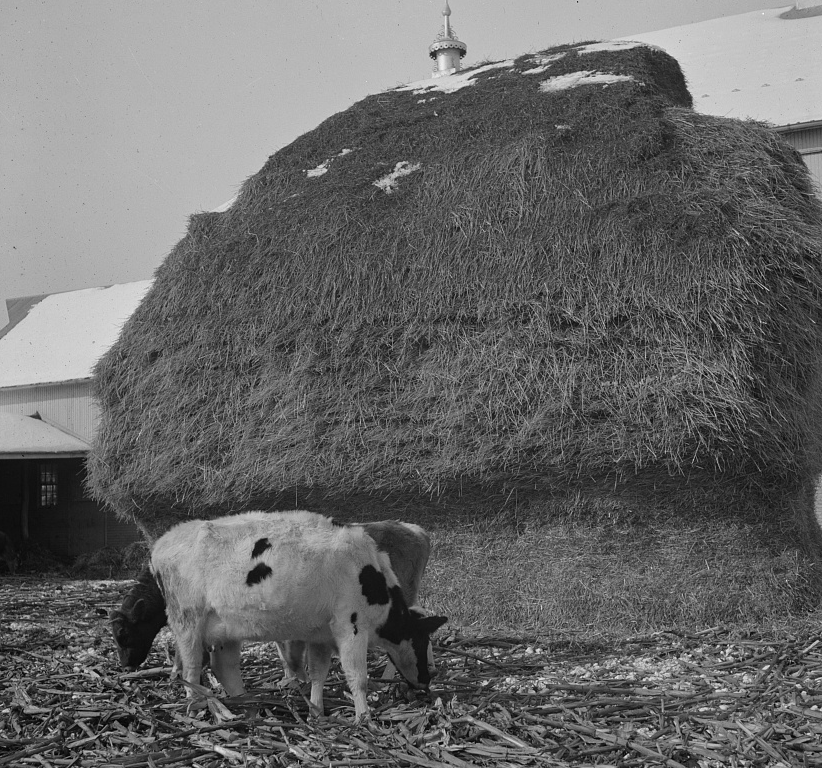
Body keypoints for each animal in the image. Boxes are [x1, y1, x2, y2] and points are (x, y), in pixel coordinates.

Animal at [145, 510, 448, 720]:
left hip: (223, 628)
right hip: (187, 621)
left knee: (224, 666)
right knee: (191, 667)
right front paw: (364, 717)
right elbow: (358, 677)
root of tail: (163, 542)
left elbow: (318, 673)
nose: (427, 679)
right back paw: (196, 705)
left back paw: (243, 701)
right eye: (423, 641)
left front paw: (316, 709)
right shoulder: (352, 627)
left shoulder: (321, 636)